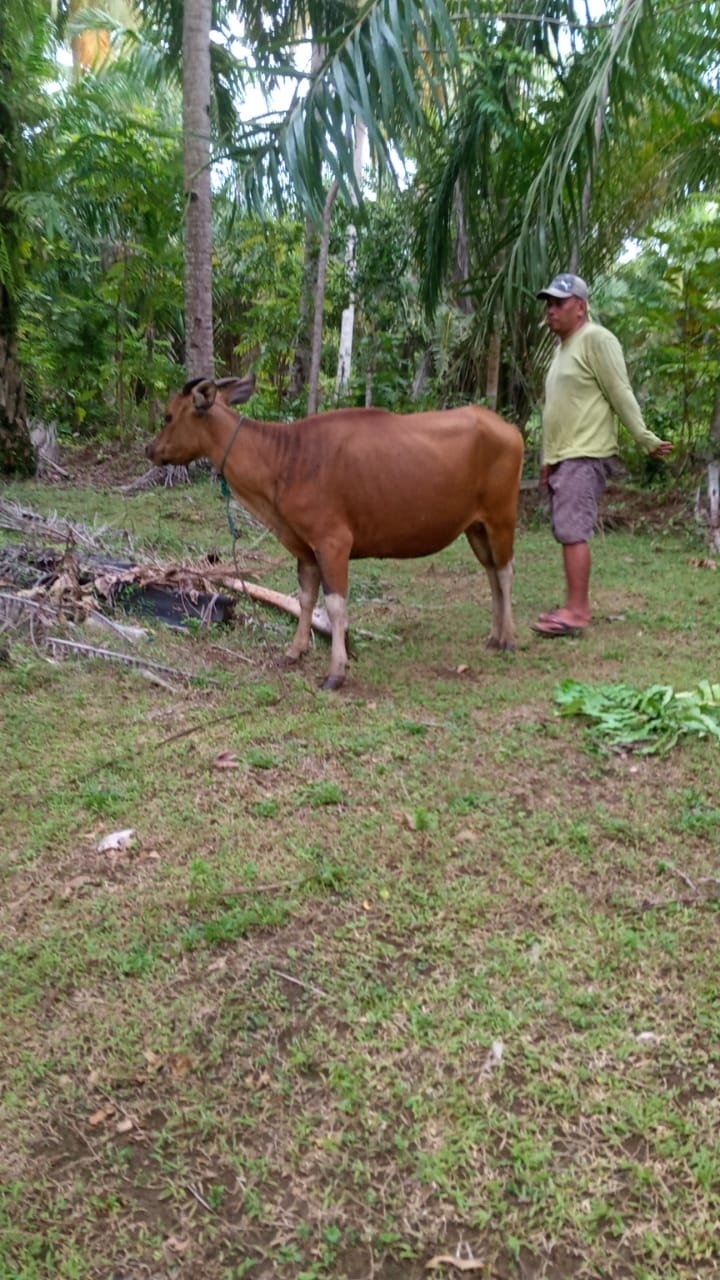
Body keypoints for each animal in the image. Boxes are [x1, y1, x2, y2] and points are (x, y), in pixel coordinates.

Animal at [147, 373, 520, 686]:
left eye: (168, 416)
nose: (149, 448)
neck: (283, 458)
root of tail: (509, 428)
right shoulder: (305, 548)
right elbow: (306, 599)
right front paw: (294, 651)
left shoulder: (333, 543)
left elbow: (336, 606)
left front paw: (337, 671)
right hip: (476, 527)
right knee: (491, 572)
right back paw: (495, 635)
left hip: (502, 518)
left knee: (504, 572)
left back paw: (509, 638)